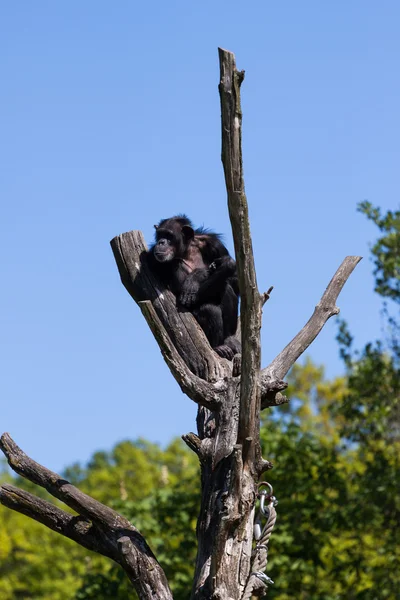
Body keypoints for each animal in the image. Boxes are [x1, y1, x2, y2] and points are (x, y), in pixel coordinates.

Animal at [148, 214, 239, 358]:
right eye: (160, 234)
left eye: (169, 235)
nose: (161, 242)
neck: (186, 250)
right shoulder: (152, 258)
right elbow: (180, 293)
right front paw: (198, 274)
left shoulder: (214, 243)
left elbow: (236, 281)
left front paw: (224, 264)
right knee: (209, 309)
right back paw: (219, 347)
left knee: (226, 288)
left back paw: (229, 339)